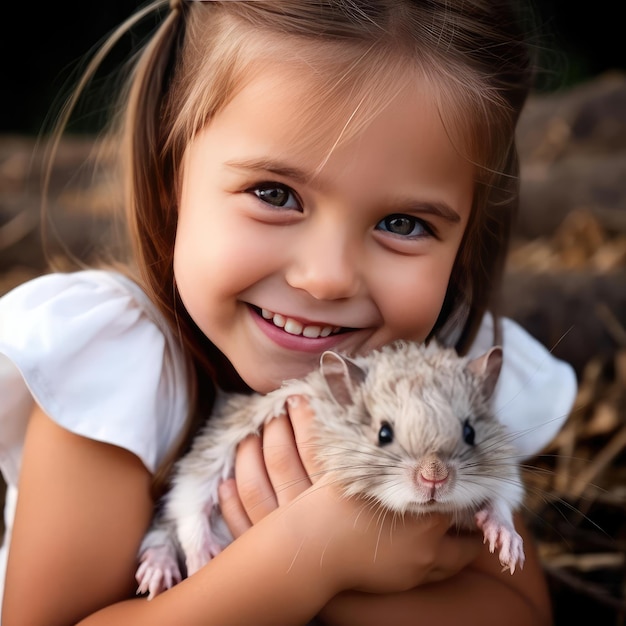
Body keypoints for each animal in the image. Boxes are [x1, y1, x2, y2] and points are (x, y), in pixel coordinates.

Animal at [135, 338, 520, 596]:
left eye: (470, 432)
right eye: (383, 433)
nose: (434, 479)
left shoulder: (505, 471)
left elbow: (502, 499)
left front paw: (511, 551)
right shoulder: (218, 446)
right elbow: (192, 502)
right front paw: (202, 562)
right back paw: (158, 572)